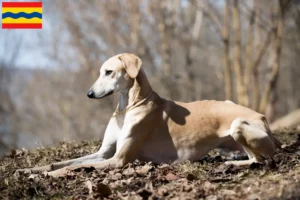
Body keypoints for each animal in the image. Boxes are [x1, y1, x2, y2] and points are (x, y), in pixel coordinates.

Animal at [18, 53, 282, 177]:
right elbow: (66, 162)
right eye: (101, 72)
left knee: (259, 159)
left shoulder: (118, 159)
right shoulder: (104, 153)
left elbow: (75, 167)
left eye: (109, 72)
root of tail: (263, 118)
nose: (89, 94)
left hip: (238, 124)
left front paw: (47, 174)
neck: (127, 107)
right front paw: (31, 170)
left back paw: (231, 163)